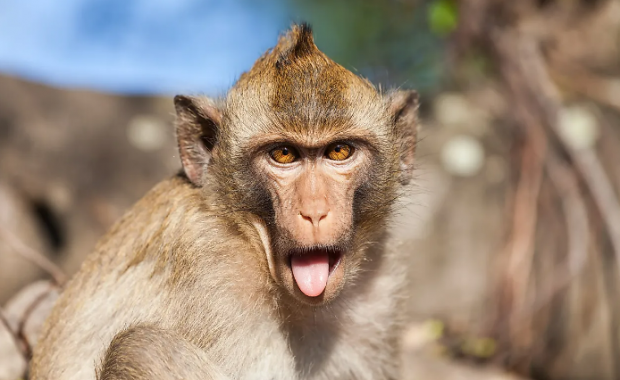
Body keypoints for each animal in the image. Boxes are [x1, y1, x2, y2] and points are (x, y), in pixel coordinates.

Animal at [27, 23, 416, 380]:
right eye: (284, 154)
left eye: (339, 151)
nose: (315, 211)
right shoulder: (213, 271)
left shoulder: (375, 295)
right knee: (143, 347)